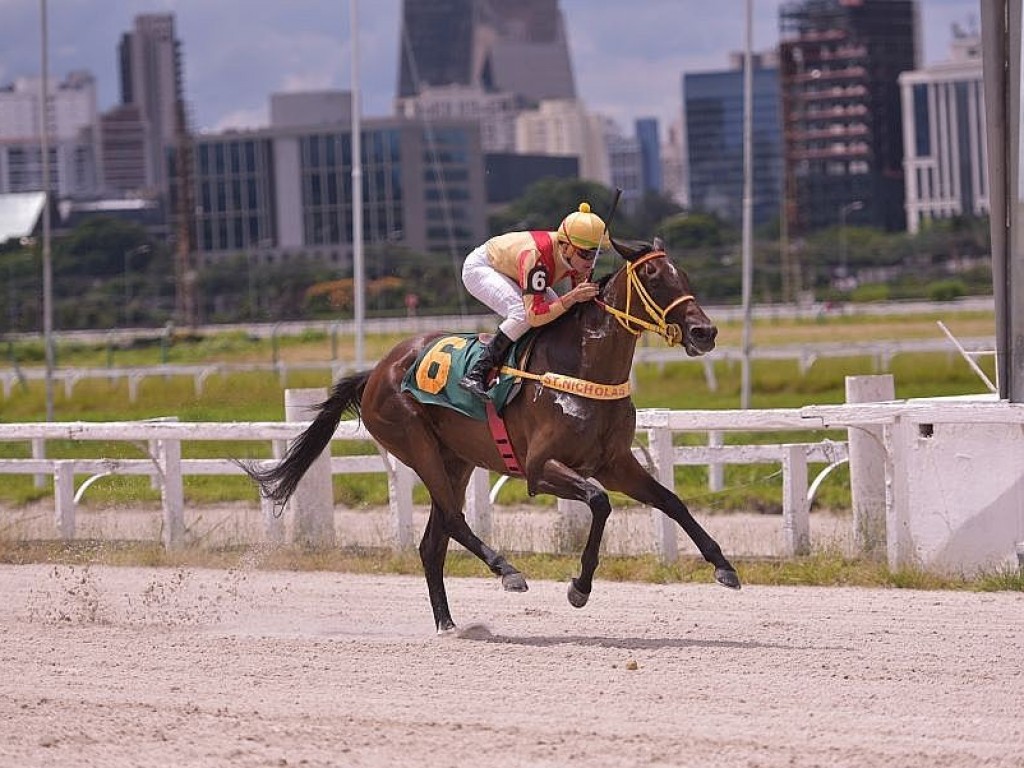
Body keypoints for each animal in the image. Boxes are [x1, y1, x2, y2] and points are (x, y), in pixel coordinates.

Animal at [243, 239, 741, 630]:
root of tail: (377, 371)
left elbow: (671, 501)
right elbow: (599, 502)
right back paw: (508, 570)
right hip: (416, 445)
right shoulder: (541, 469)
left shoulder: (615, 463)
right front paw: (579, 586)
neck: (582, 367)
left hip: (457, 459)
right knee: (453, 520)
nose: (705, 331)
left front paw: (724, 567)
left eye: (684, 273)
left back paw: (448, 624)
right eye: (654, 277)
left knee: (433, 541)